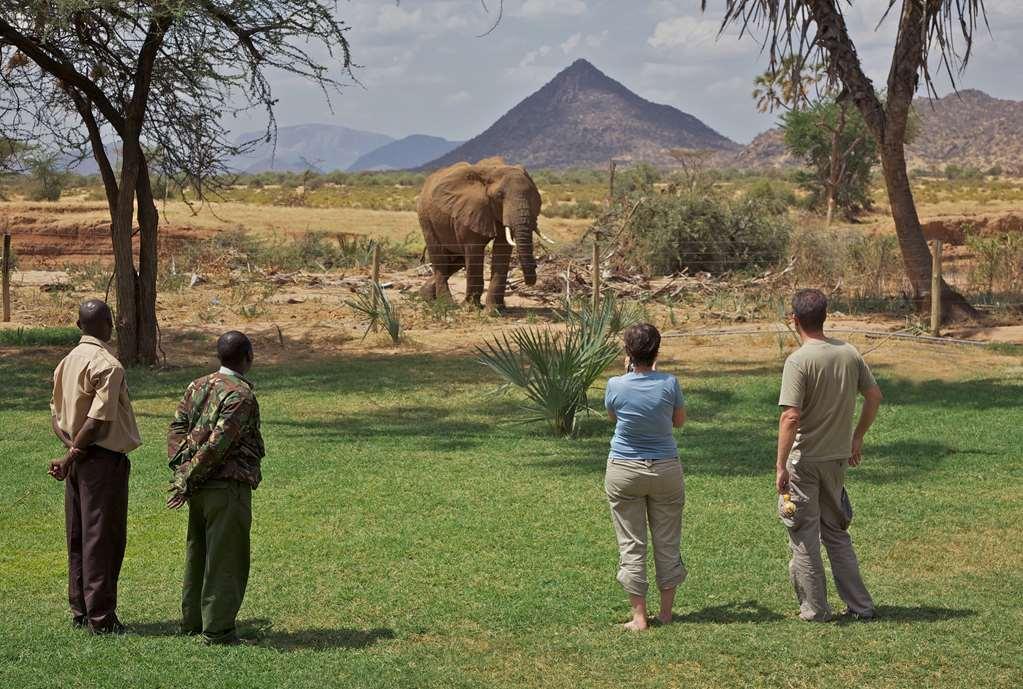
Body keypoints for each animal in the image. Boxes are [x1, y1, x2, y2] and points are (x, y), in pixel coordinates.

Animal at [415, 158, 548, 308]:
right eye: (499, 196)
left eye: (532, 195)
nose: (535, 267)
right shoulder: (469, 208)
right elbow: (474, 250)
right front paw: (471, 307)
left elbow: (502, 250)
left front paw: (494, 310)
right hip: (425, 217)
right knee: (440, 260)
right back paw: (447, 304)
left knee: (457, 259)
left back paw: (427, 296)